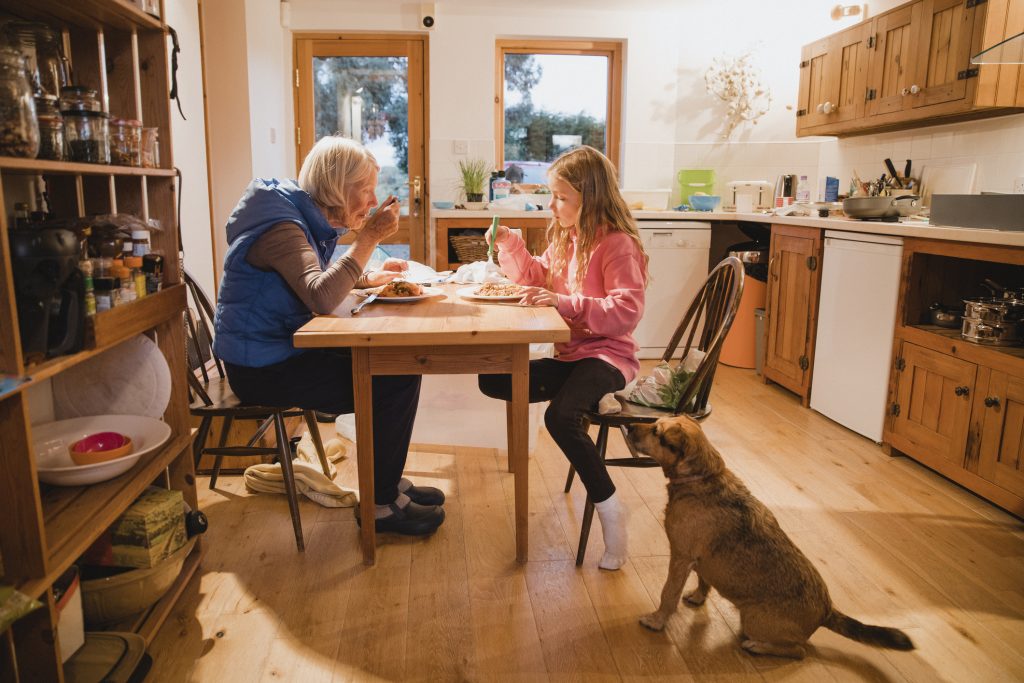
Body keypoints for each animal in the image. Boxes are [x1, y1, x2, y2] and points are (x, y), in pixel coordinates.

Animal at [630, 413, 913, 659]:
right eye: (655, 423)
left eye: (657, 432)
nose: (629, 427)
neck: (703, 477)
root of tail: (826, 611)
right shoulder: (698, 560)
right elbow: (703, 581)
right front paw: (698, 597)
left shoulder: (680, 556)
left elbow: (668, 594)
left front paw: (656, 621)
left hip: (753, 619)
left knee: (798, 651)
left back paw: (757, 646)